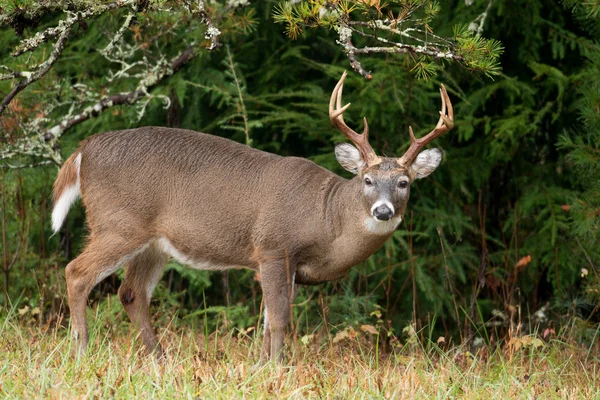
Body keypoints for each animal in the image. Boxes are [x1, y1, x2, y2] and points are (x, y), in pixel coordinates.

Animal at [52, 72, 454, 362]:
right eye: (367, 180)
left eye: (404, 182)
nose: (383, 210)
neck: (326, 218)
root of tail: (83, 151)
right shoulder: (274, 247)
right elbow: (278, 320)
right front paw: (276, 369)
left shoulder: (280, 264)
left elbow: (266, 321)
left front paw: (260, 366)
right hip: (118, 223)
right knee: (76, 272)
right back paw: (81, 353)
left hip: (153, 243)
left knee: (131, 293)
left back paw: (160, 359)